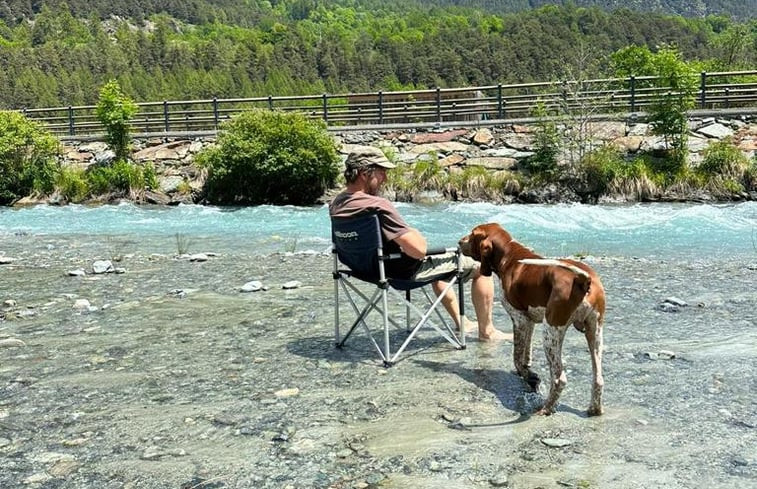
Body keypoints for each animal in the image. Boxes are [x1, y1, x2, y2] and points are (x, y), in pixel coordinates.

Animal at [458, 223, 604, 414]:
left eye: (473, 233)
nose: (459, 242)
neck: (510, 256)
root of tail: (582, 279)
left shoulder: (519, 319)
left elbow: (517, 357)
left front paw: (530, 377)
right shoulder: (530, 321)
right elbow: (526, 354)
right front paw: (527, 373)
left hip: (551, 333)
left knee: (559, 378)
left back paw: (546, 408)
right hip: (594, 333)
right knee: (598, 379)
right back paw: (595, 409)